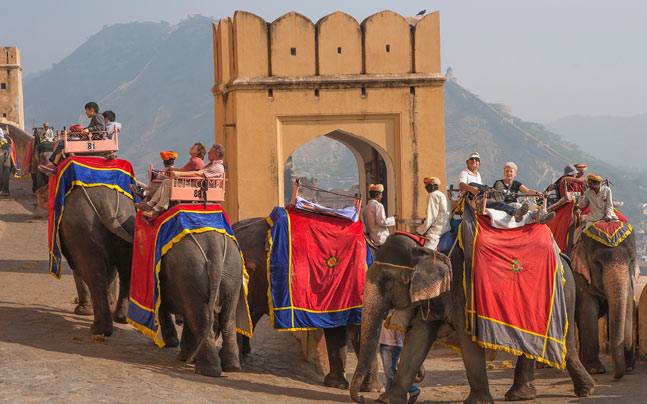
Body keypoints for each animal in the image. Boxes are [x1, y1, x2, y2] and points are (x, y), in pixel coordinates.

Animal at [60, 185, 137, 334]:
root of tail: (107, 206)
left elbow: (78, 269)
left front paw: (82, 311)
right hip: (127, 225)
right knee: (126, 271)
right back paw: (121, 318)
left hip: (84, 232)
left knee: (93, 273)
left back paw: (98, 329)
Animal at [158, 230, 246, 378]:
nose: (179, 321)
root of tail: (214, 248)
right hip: (232, 272)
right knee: (227, 318)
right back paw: (231, 367)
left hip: (190, 271)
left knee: (199, 318)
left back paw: (205, 369)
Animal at [352, 232, 596, 404]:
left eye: (387, 281)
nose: (362, 398)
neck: (427, 247)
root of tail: (563, 256)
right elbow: (418, 339)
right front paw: (389, 400)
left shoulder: (464, 292)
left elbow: (467, 338)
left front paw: (476, 402)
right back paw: (521, 396)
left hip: (563, 294)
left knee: (565, 344)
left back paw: (585, 390)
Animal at [572, 230, 636, 378]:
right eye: (597, 263)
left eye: (632, 260)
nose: (615, 375)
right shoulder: (579, 275)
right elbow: (587, 310)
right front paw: (596, 370)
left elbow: (628, 301)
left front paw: (629, 367)